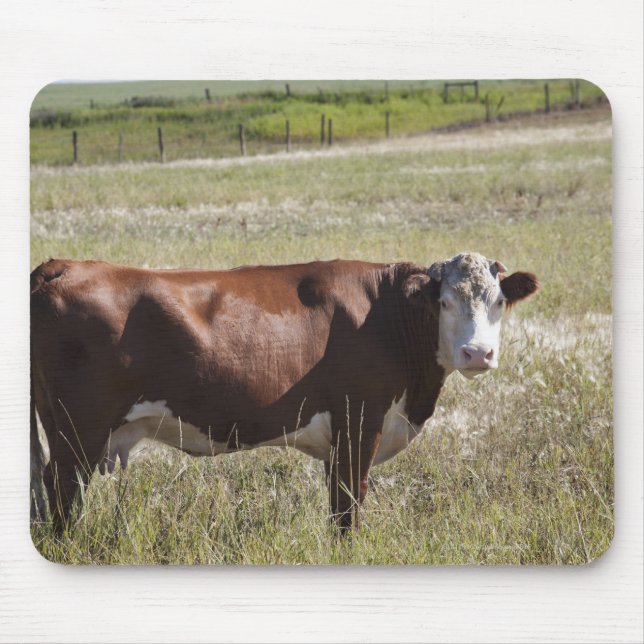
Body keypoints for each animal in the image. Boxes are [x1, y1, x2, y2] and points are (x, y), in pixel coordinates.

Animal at [30, 252, 539, 532]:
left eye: (498, 301)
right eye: (444, 302)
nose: (478, 353)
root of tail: (60, 267)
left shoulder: (339, 442)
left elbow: (337, 509)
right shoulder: (360, 425)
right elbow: (349, 511)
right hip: (79, 431)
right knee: (62, 493)